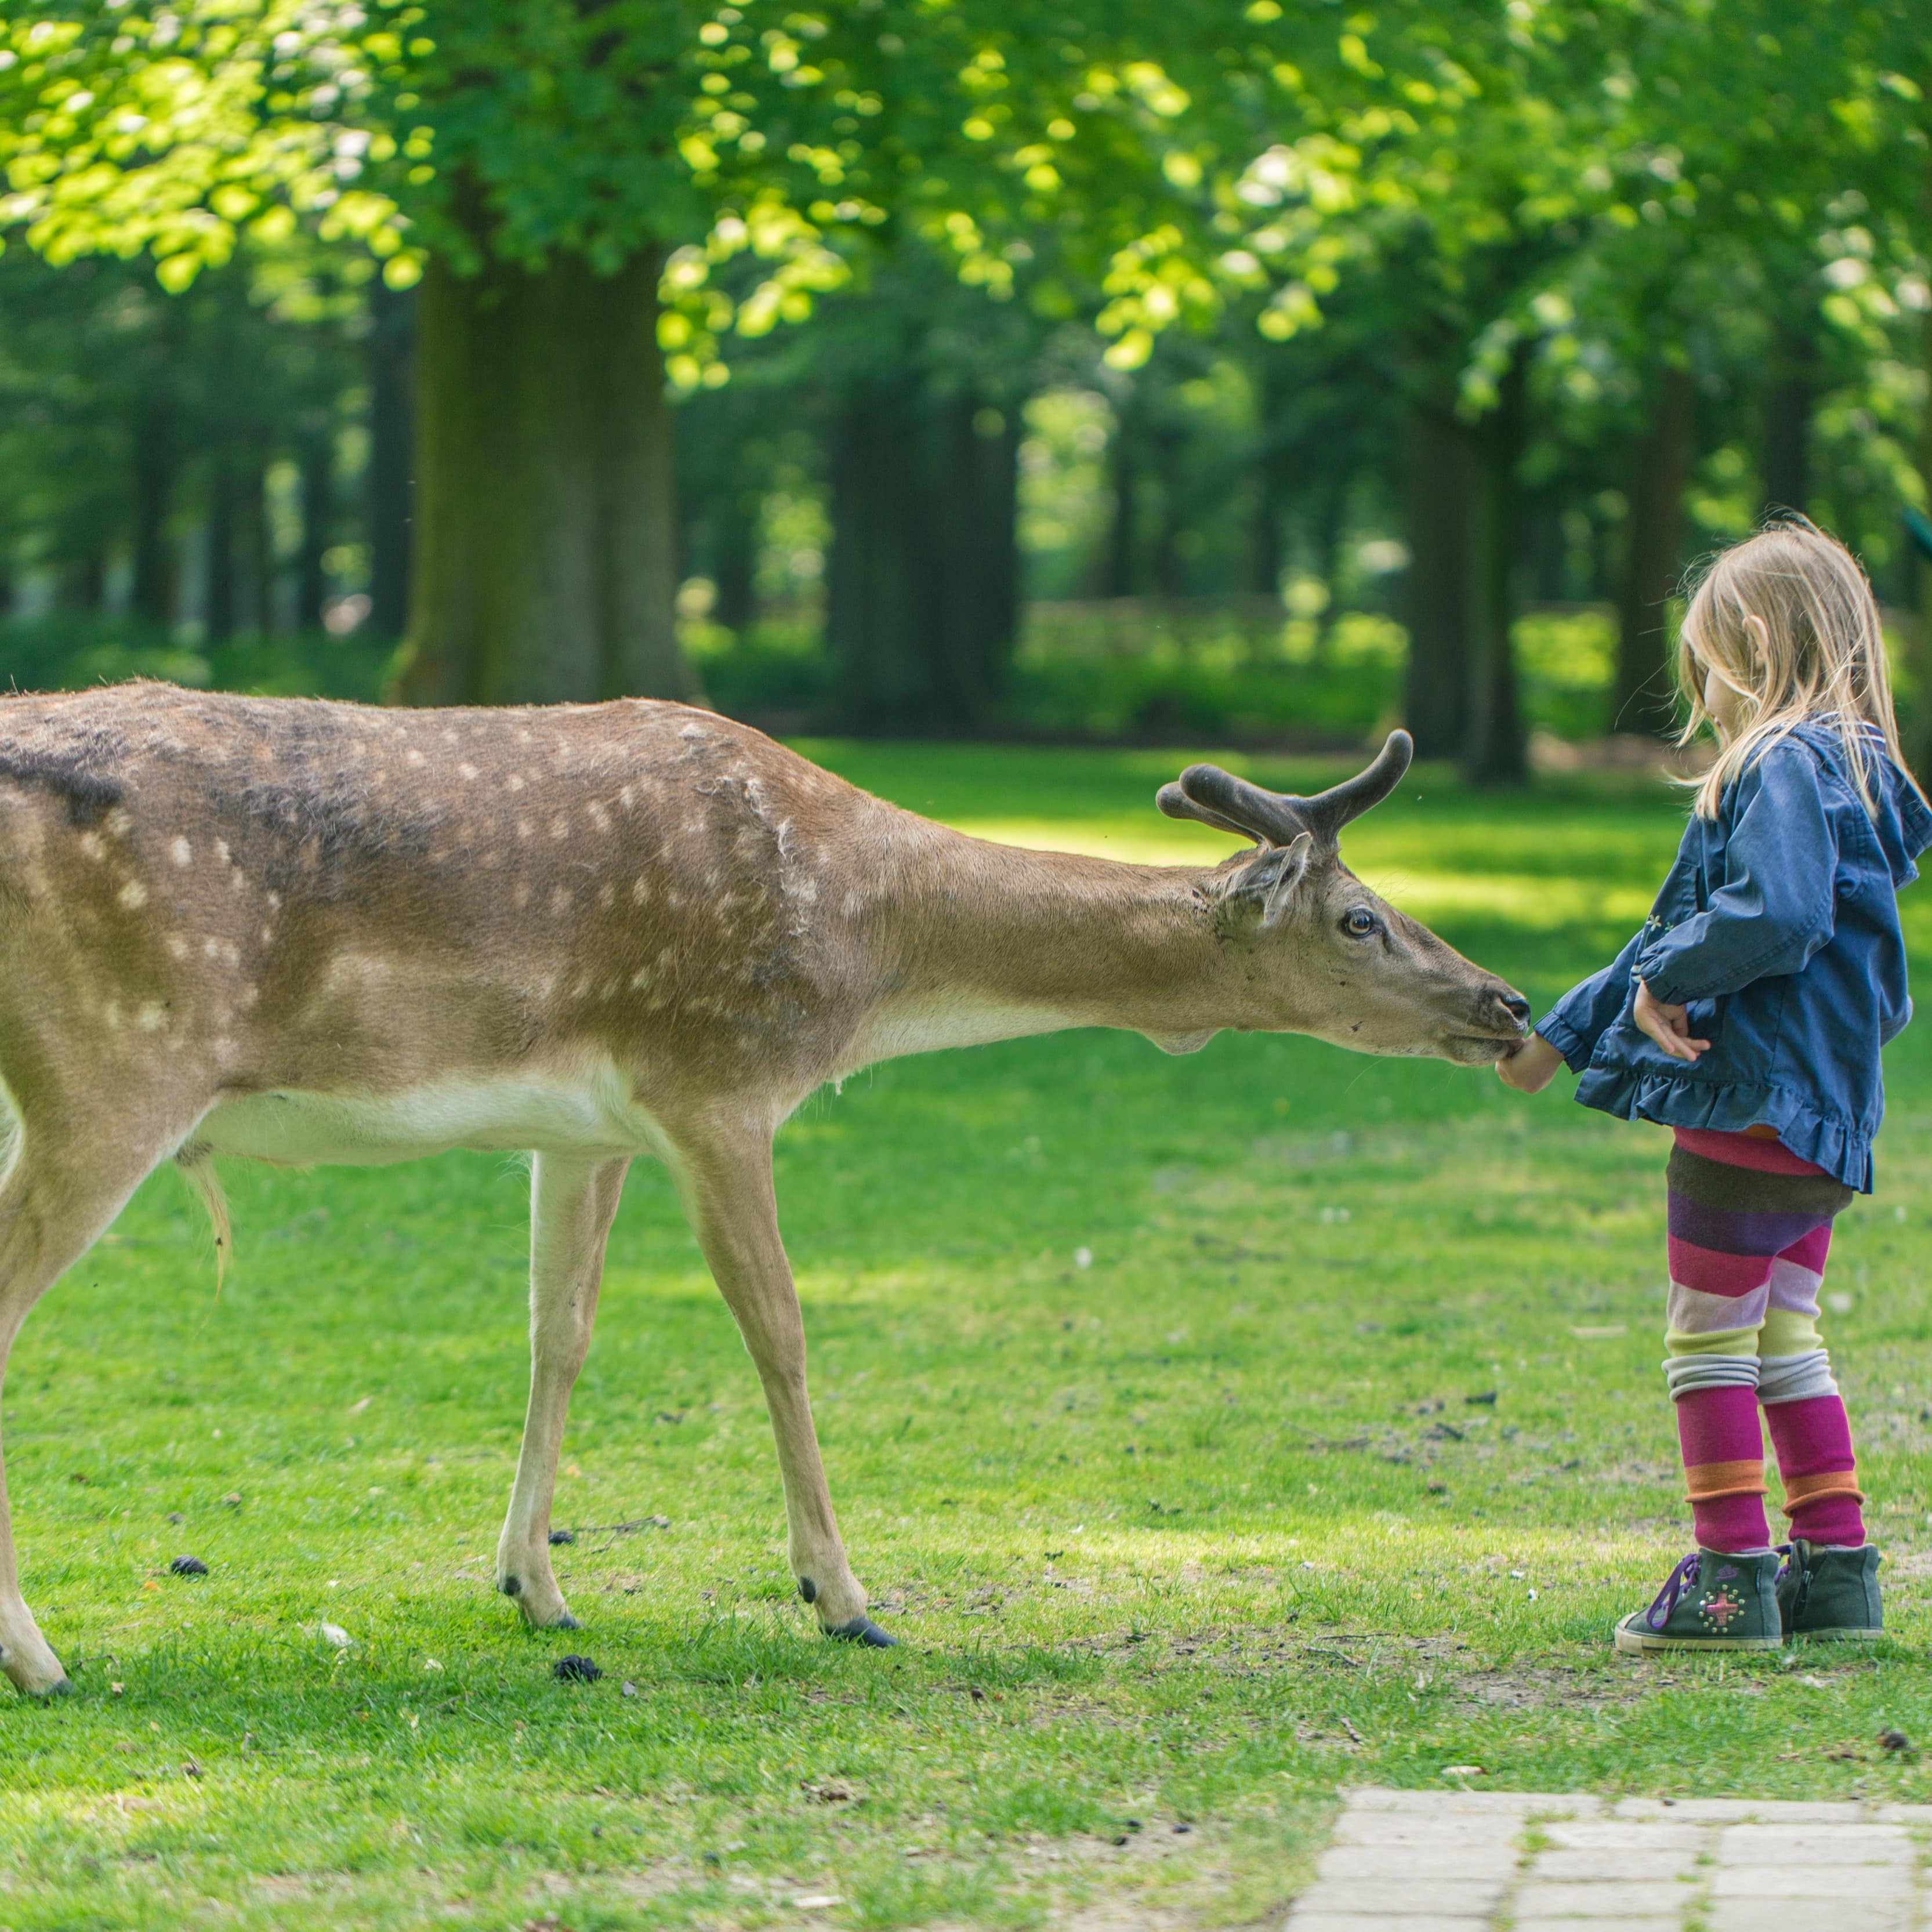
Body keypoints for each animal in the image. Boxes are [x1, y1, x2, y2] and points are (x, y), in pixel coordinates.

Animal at [0, 680, 1530, 1692]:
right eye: (1360, 920)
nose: (1506, 1003)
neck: (868, 958)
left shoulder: (585, 1124)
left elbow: (558, 1333)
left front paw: (536, 1584)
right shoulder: (720, 1077)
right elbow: (781, 1329)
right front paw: (843, 1593)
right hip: (111, 1073)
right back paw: (42, 1659)